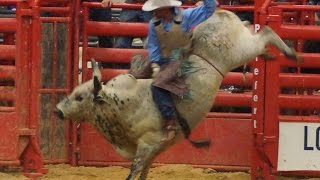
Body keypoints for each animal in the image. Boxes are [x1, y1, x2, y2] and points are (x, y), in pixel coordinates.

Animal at [55, 9, 300, 180]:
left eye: (79, 98)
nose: (57, 111)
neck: (120, 104)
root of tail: (219, 14)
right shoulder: (153, 151)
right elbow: (143, 173)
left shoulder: (147, 145)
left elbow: (134, 172)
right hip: (244, 43)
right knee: (256, 31)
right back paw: (270, 54)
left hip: (242, 50)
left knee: (265, 33)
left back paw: (291, 53)